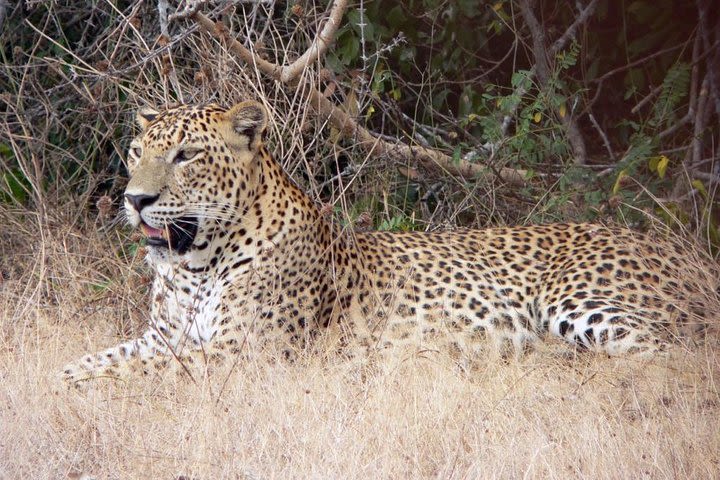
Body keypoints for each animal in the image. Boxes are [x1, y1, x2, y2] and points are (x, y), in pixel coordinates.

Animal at [60, 100, 716, 386]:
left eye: (187, 155)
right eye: (136, 151)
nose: (134, 199)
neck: (194, 264)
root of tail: (692, 254)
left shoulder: (242, 353)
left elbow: (127, 374)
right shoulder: (164, 337)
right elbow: (97, 359)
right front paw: (56, 381)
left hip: (580, 301)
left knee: (671, 357)